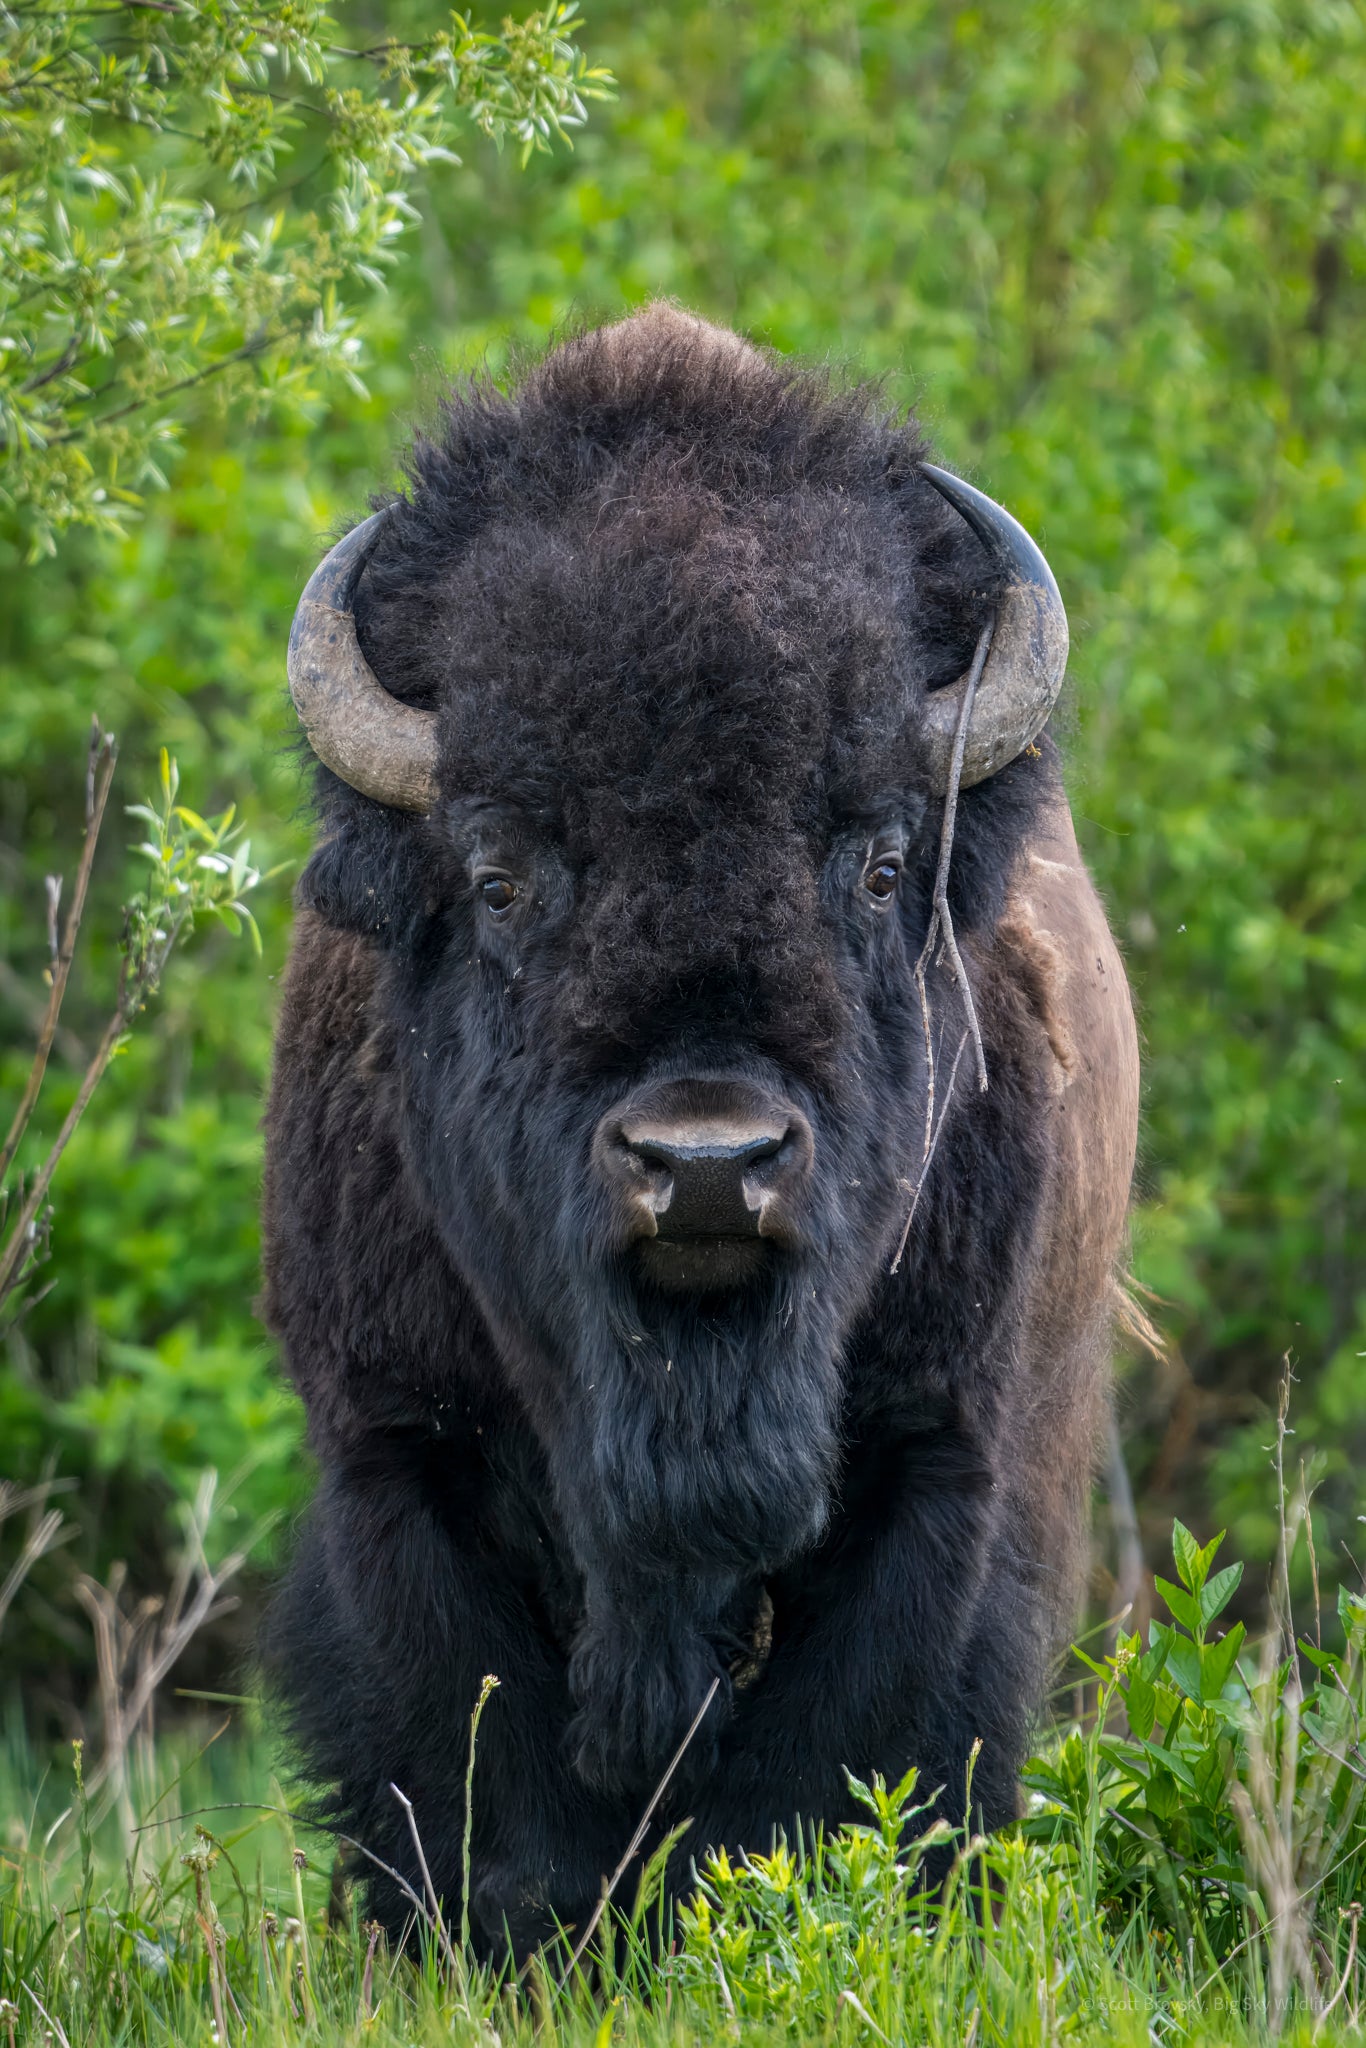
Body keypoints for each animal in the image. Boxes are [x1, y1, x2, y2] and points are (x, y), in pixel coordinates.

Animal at [260, 303, 1139, 1958]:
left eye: (876, 863)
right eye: (499, 875)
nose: (709, 1164)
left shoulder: (938, 1471)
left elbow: (816, 1785)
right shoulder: (393, 1457)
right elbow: (492, 1792)